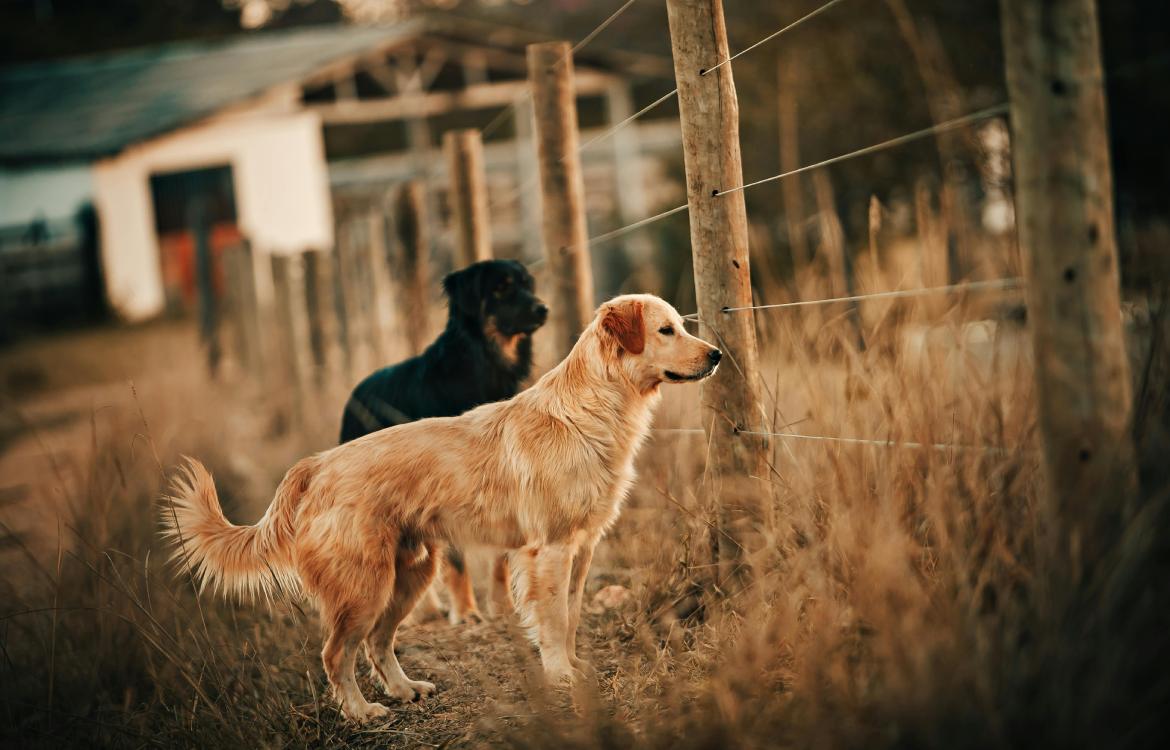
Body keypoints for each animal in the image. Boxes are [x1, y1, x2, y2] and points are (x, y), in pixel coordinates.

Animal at [334, 262, 542, 617]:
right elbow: (456, 559)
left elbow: (500, 554)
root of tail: (355, 395)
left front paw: (502, 606)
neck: (482, 367)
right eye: (501, 288)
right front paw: (467, 611)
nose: (543, 309)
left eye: (527, 284)